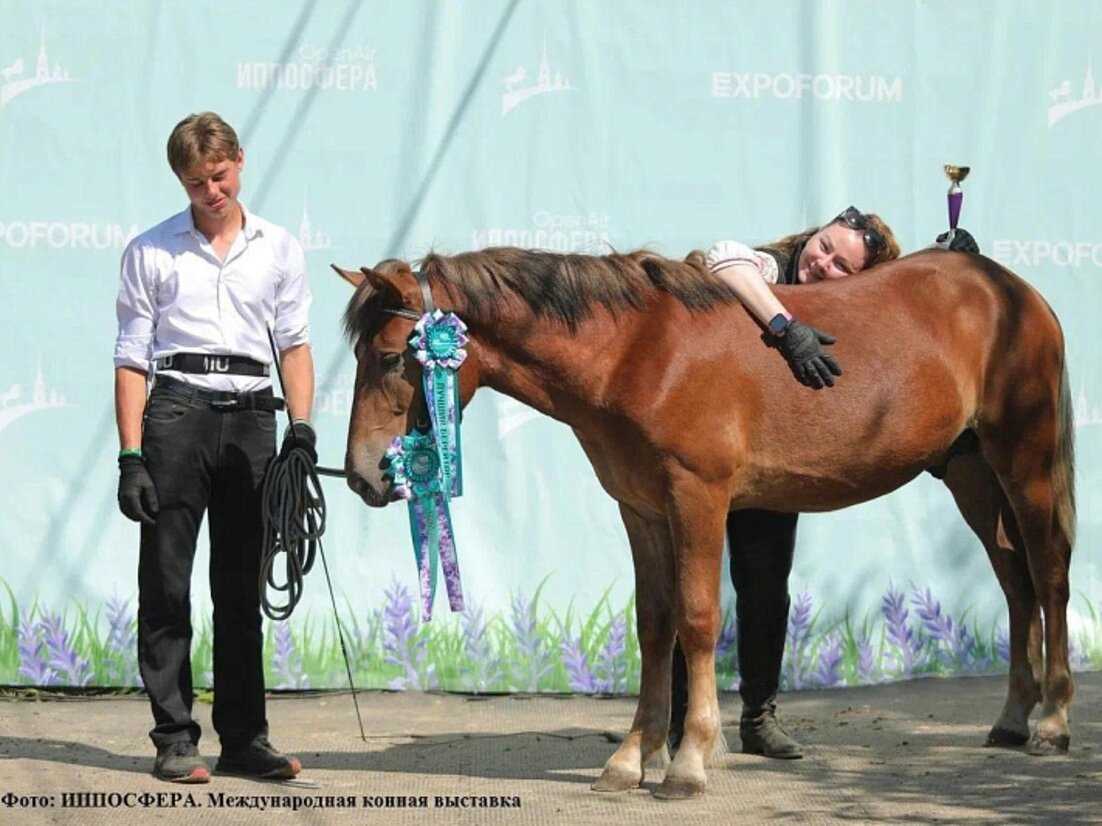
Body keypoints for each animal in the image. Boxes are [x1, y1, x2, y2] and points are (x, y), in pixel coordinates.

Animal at [335, 247, 1075, 801]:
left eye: (394, 354)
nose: (365, 476)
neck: (637, 350)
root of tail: (1012, 291)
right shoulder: (641, 510)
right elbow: (654, 624)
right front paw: (631, 760)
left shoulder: (698, 497)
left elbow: (695, 619)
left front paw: (687, 761)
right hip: (970, 474)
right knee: (1015, 585)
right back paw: (1012, 718)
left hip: (1023, 462)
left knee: (1049, 576)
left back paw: (1053, 721)